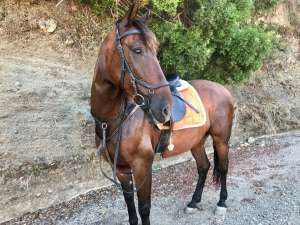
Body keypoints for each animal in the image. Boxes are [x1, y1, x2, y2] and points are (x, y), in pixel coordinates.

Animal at [90, 3, 236, 225]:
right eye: (137, 50)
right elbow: (131, 208)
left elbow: (144, 208)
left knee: (224, 166)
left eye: (156, 49)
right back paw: (193, 202)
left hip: (221, 140)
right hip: (196, 141)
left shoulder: (142, 166)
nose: (165, 108)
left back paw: (222, 203)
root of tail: (224, 90)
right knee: (204, 166)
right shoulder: (122, 170)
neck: (114, 120)